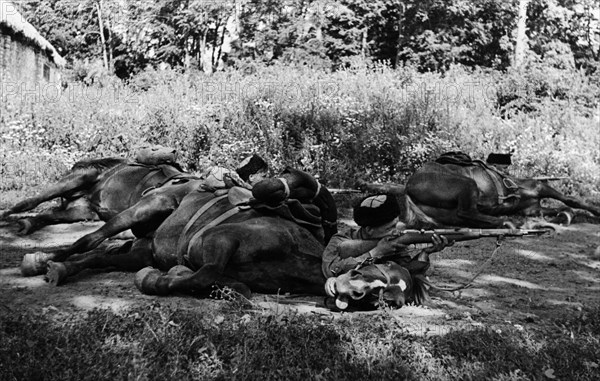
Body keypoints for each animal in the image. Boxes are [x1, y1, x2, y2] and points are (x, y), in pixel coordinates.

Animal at [0, 156, 184, 233]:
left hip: (83, 211)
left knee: (50, 214)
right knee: (31, 202)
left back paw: (27, 224)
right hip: (74, 180)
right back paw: (7, 217)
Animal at [42, 183, 426, 310]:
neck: (296, 257)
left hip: (145, 249)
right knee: (91, 239)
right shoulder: (219, 238)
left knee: (99, 256)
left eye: (386, 299)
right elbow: (204, 273)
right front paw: (160, 281)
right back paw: (49, 259)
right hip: (147, 208)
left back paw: (62, 269)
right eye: (379, 268)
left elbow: (235, 287)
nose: (358, 294)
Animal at [404, 153, 600, 227]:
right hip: (467, 183)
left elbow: (561, 207)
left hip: (448, 215)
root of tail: (409, 185)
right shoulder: (539, 187)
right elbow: (571, 200)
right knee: (467, 212)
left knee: (468, 216)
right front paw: (595, 211)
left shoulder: (532, 209)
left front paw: (563, 216)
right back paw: (508, 221)